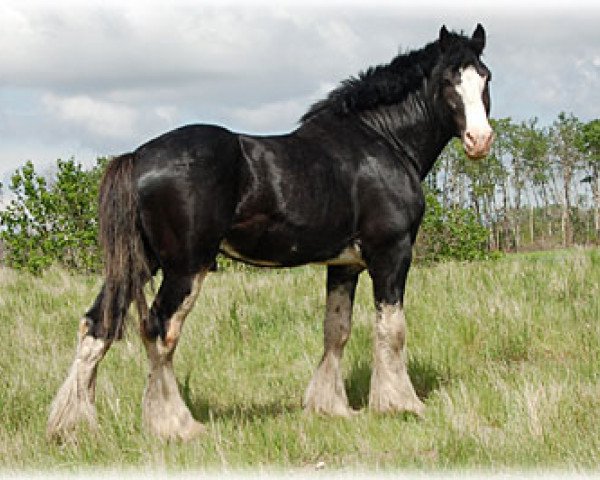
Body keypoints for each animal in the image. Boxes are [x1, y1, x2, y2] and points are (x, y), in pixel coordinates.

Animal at [48, 23, 492, 442]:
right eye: (449, 79)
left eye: (484, 76)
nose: (480, 139)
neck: (382, 141)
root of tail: (138, 157)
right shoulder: (391, 254)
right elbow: (392, 328)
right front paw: (400, 404)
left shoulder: (344, 265)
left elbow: (337, 330)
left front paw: (330, 407)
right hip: (185, 268)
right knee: (159, 331)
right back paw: (177, 426)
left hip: (140, 263)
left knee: (97, 325)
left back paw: (71, 425)